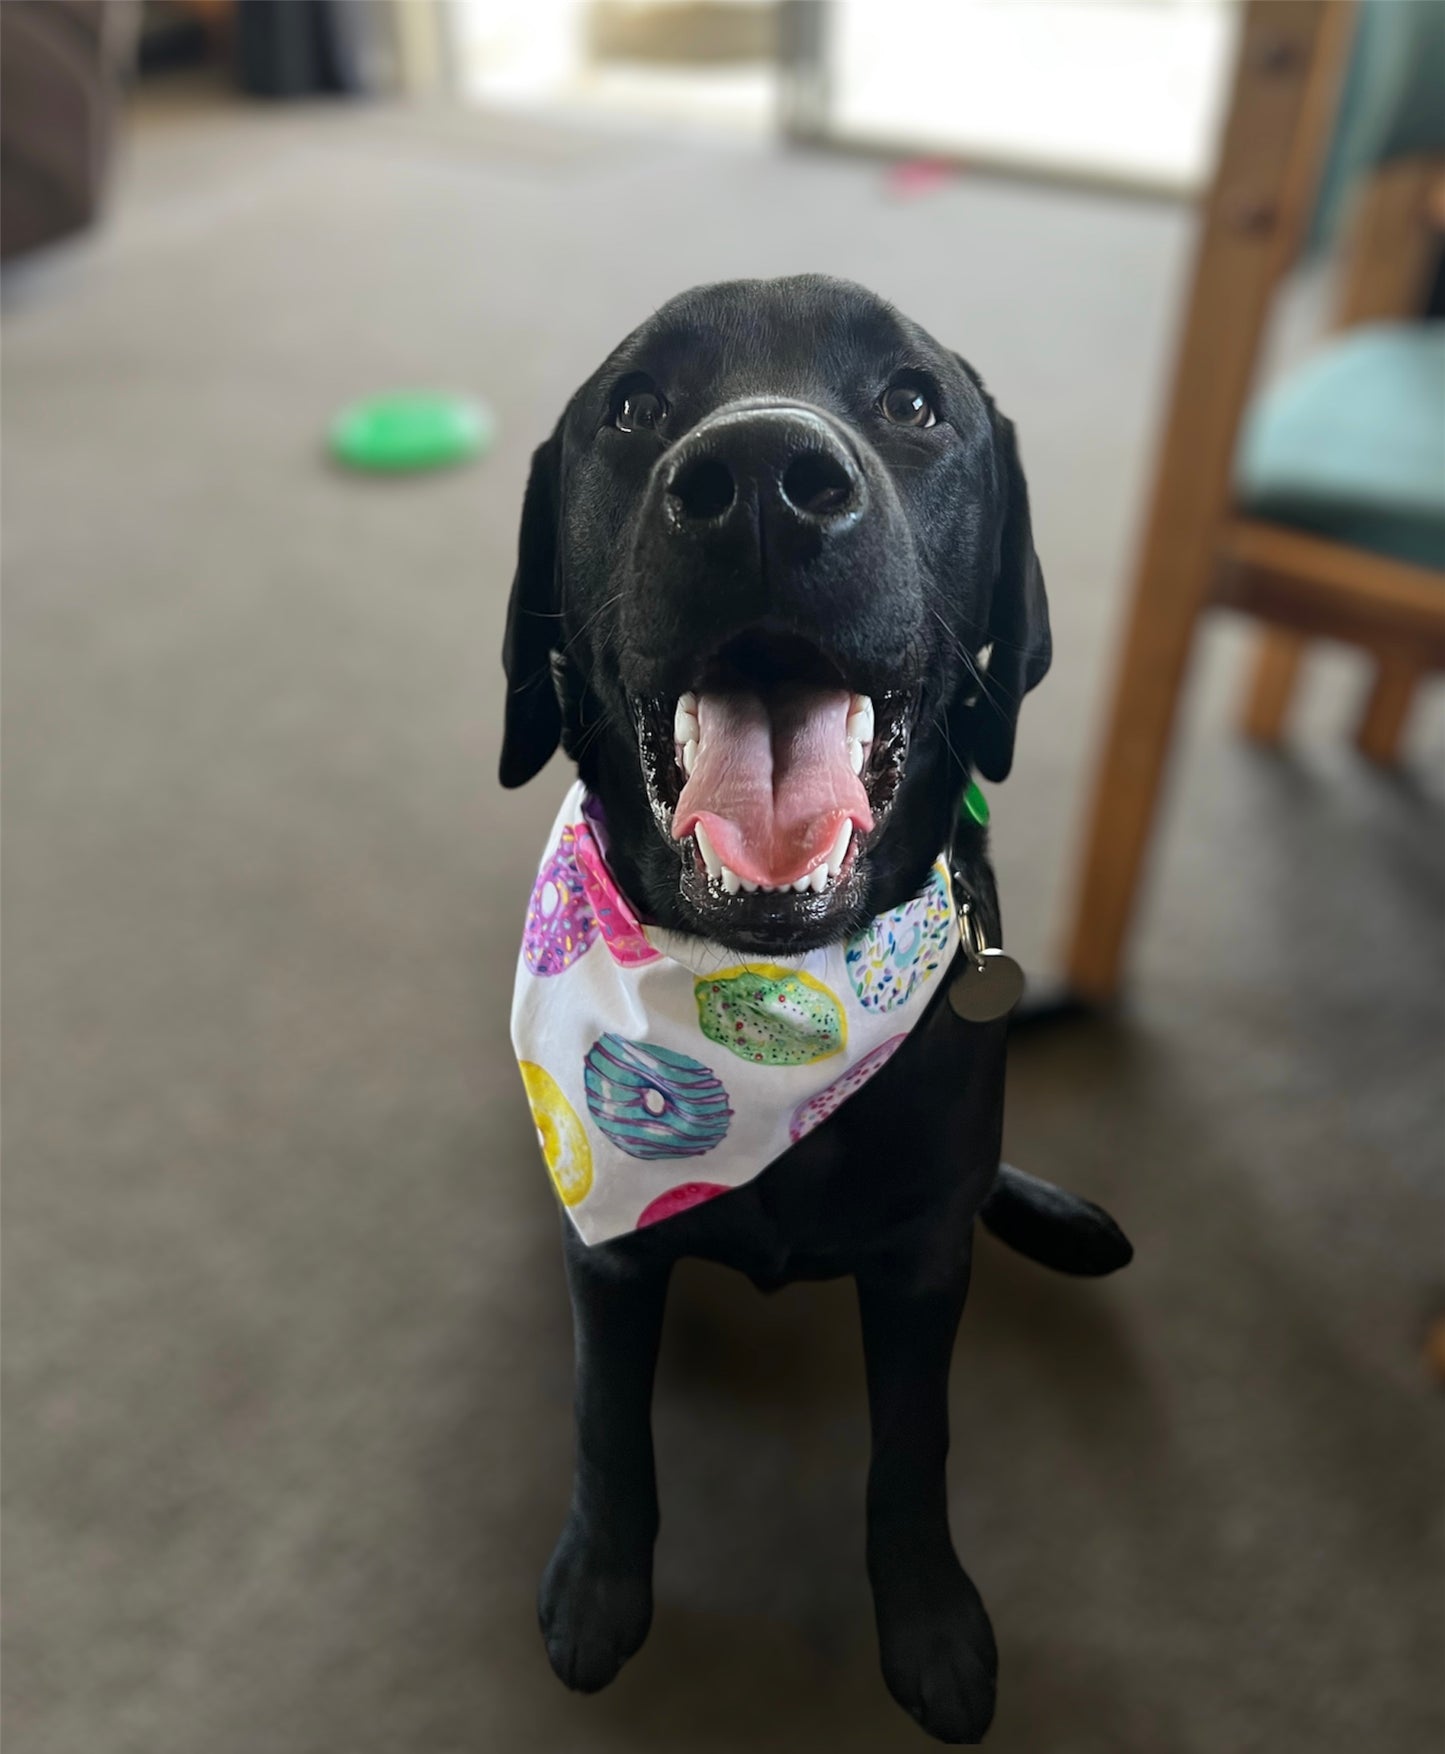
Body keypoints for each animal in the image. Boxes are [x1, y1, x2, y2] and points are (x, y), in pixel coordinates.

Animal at [501, 273, 1136, 1739]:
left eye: (912, 400)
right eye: (634, 405)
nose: (756, 483)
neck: (774, 996)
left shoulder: (921, 1266)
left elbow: (912, 1443)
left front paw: (929, 1622)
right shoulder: (609, 1257)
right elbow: (604, 1419)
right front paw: (599, 1584)